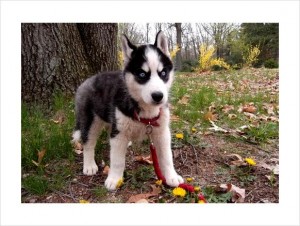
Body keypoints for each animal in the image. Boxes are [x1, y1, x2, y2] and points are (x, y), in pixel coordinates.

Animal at [72, 31, 184, 191]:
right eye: (142, 75)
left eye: (163, 73)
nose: (158, 96)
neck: (146, 110)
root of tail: (87, 81)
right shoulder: (118, 135)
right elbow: (117, 160)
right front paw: (114, 179)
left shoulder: (162, 132)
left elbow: (167, 157)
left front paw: (171, 176)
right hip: (90, 120)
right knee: (88, 142)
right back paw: (89, 165)